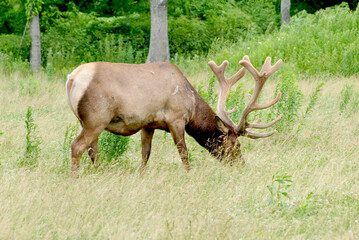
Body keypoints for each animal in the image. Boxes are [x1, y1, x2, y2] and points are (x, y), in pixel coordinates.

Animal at [65, 55, 284, 172]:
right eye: (236, 145)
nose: (241, 165)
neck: (193, 106)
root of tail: (72, 78)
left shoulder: (148, 124)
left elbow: (145, 154)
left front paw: (140, 174)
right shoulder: (176, 119)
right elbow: (184, 153)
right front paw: (189, 174)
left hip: (86, 121)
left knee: (92, 150)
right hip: (96, 118)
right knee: (77, 146)